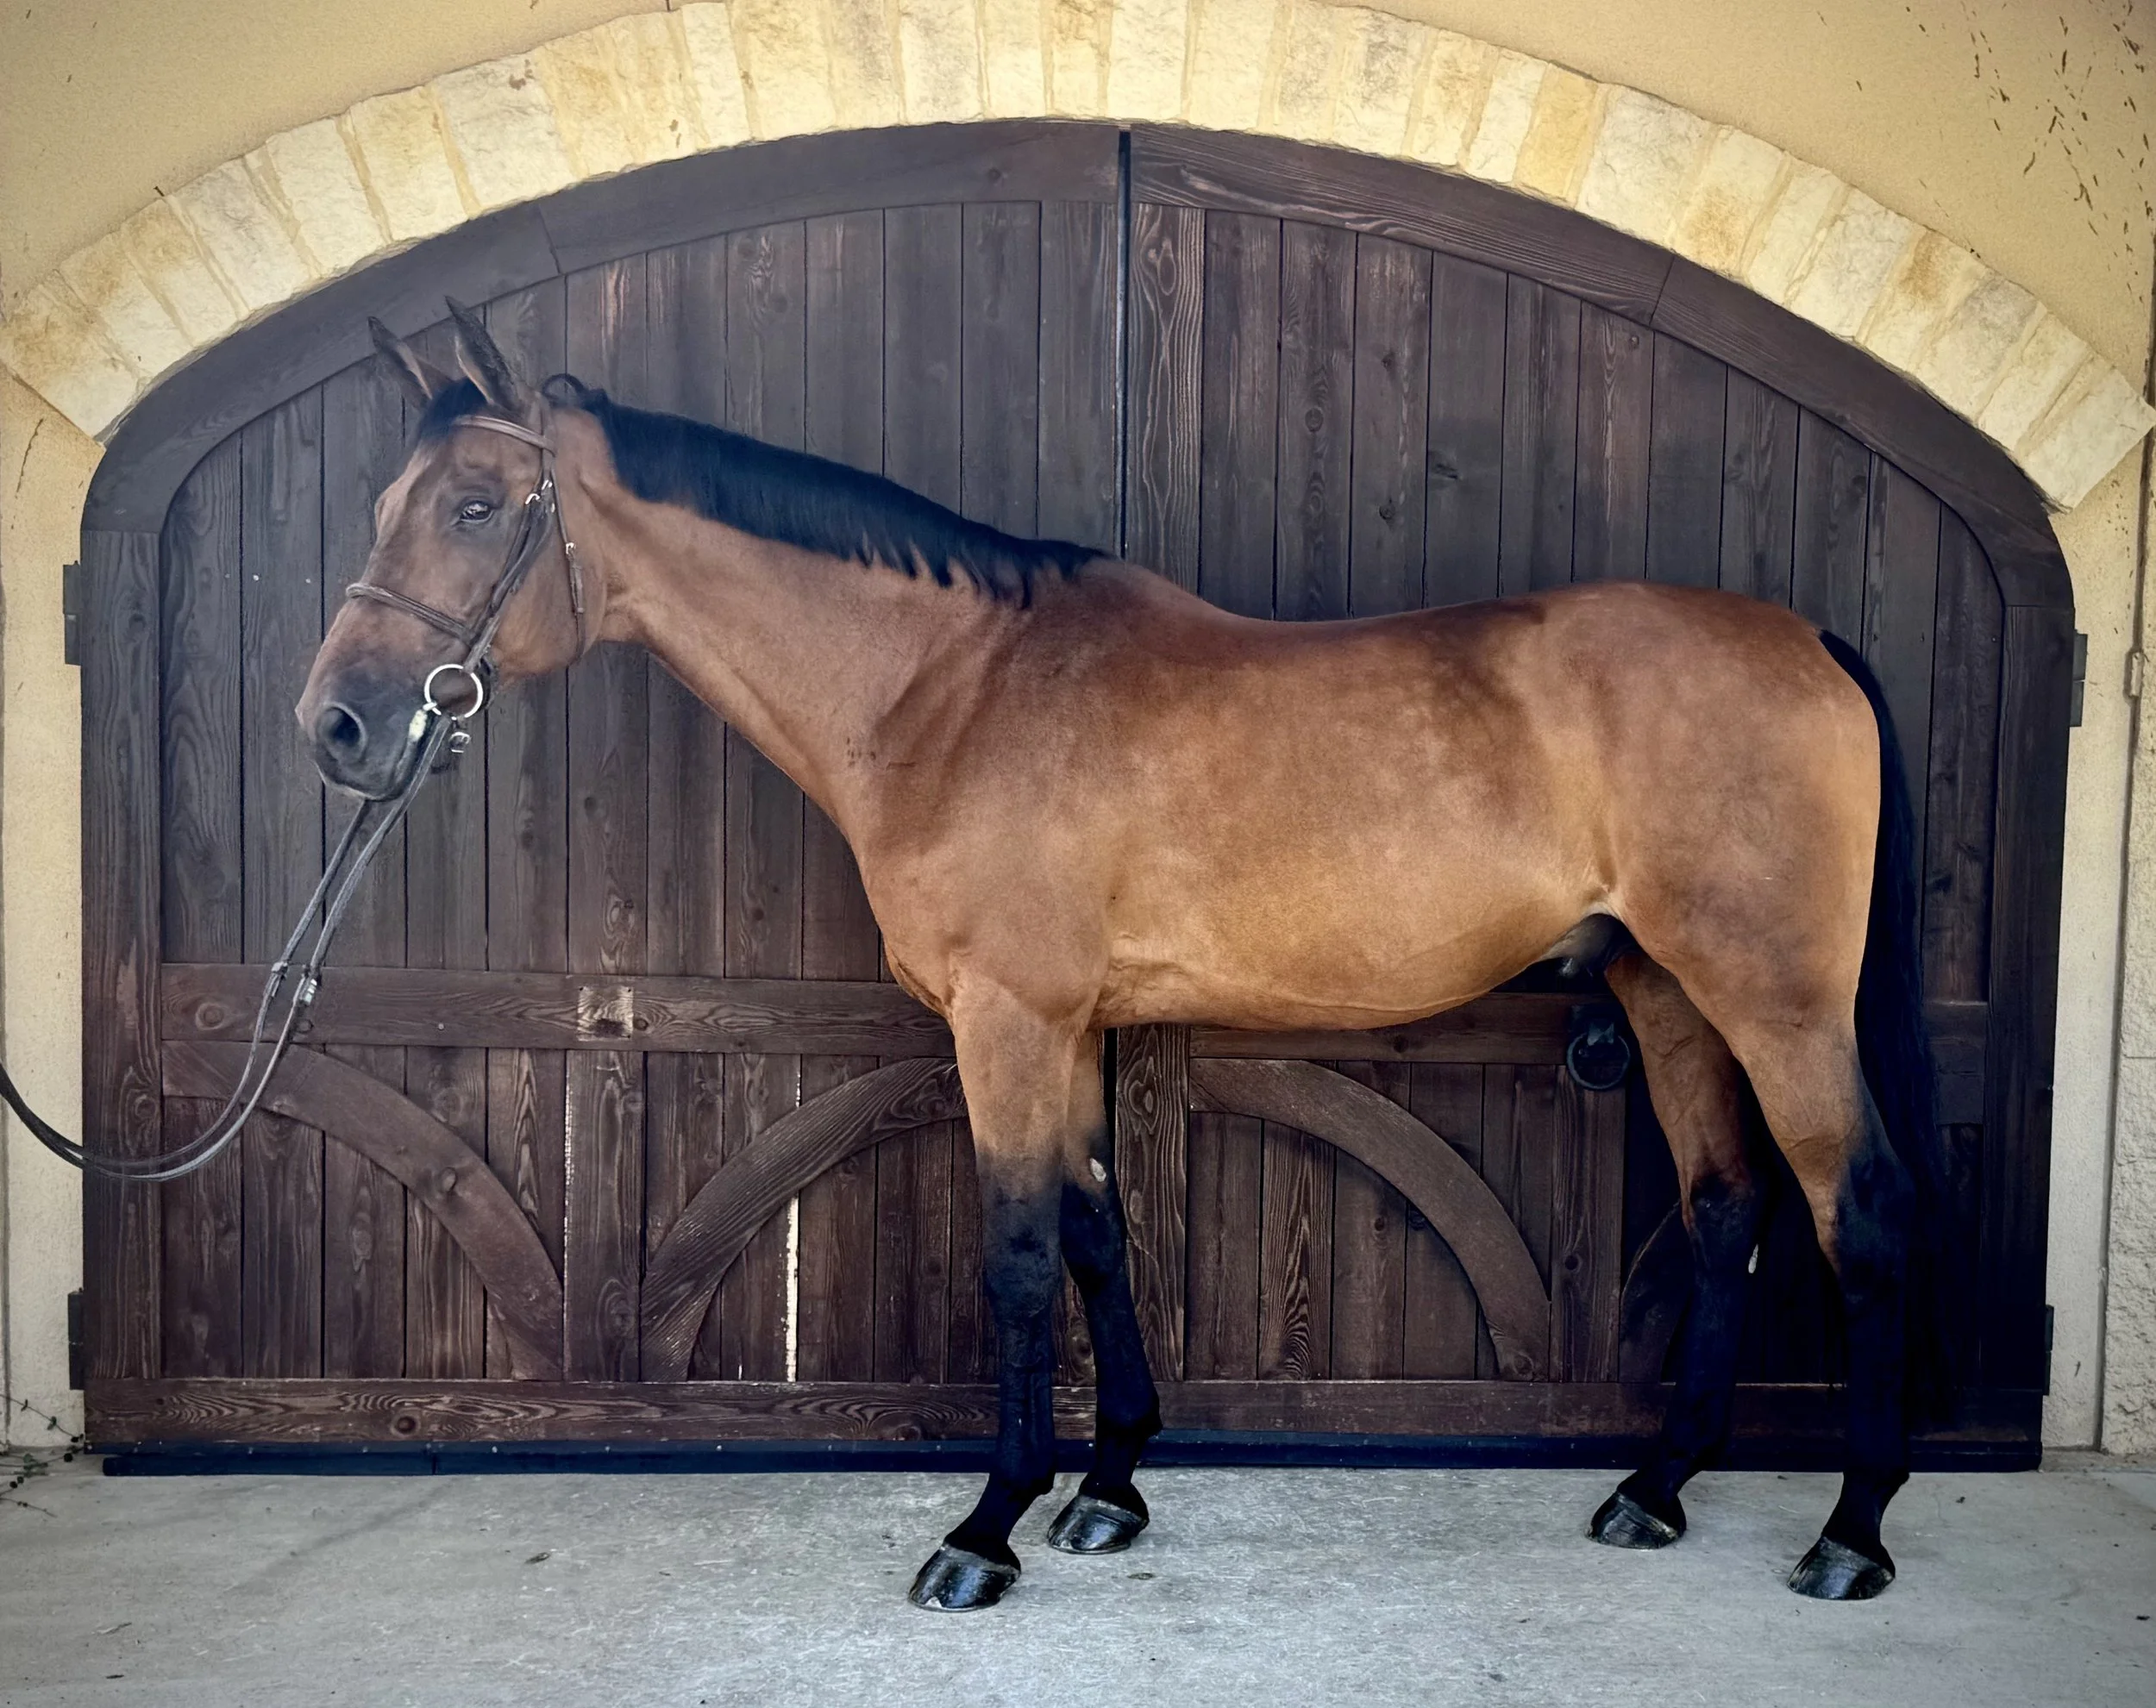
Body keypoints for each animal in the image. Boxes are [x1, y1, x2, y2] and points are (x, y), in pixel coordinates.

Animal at [298, 301, 1942, 1612]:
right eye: (381, 500)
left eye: (478, 504)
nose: (339, 729)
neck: (950, 690)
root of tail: (1808, 641)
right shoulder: (1071, 1024)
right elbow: (1096, 1232)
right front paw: (1110, 1489)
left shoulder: (1008, 1020)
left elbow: (1023, 1253)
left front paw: (986, 1530)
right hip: (1671, 993)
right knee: (1729, 1208)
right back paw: (1655, 1491)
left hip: (1776, 1001)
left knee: (1858, 1216)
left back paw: (1852, 1534)